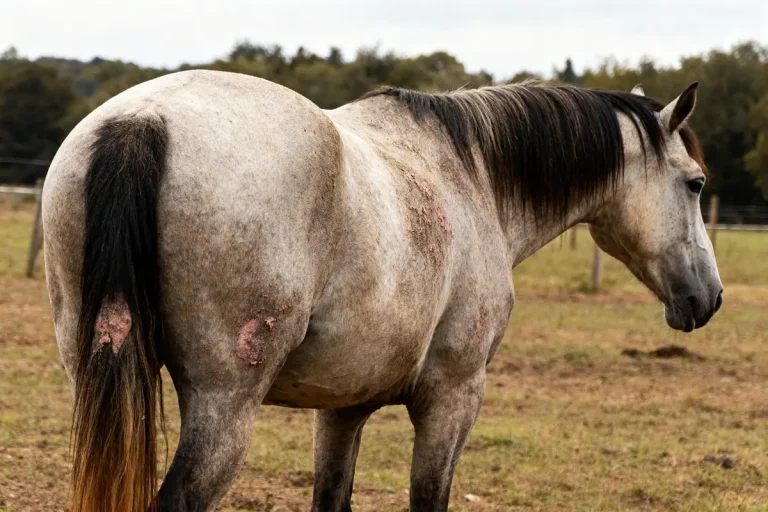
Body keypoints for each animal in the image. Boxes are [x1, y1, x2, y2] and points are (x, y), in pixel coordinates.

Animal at [42, 71, 723, 512]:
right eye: (694, 184)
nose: (709, 297)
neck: (471, 174)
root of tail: (142, 122)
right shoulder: (453, 396)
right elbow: (427, 499)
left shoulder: (342, 407)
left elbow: (332, 497)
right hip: (224, 405)